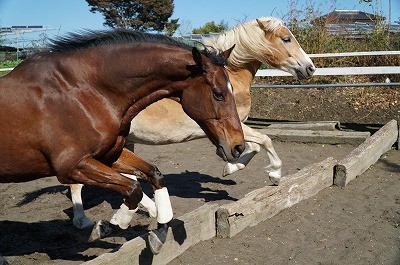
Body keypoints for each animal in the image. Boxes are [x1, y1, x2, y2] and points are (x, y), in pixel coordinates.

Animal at [0, 29, 245, 254]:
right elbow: (133, 188)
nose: (238, 147)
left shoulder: (109, 155)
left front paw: (159, 231)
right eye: (218, 94)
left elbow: (154, 175)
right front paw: (107, 226)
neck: (84, 92)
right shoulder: (71, 166)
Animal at [71, 16, 316, 233]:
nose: (310, 68)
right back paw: (84, 221)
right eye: (286, 38)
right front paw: (273, 174)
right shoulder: (233, 127)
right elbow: (264, 140)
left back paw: (149, 209)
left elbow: (252, 146)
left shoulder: (234, 131)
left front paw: (230, 167)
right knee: (78, 182)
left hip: (122, 144)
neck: (231, 80)